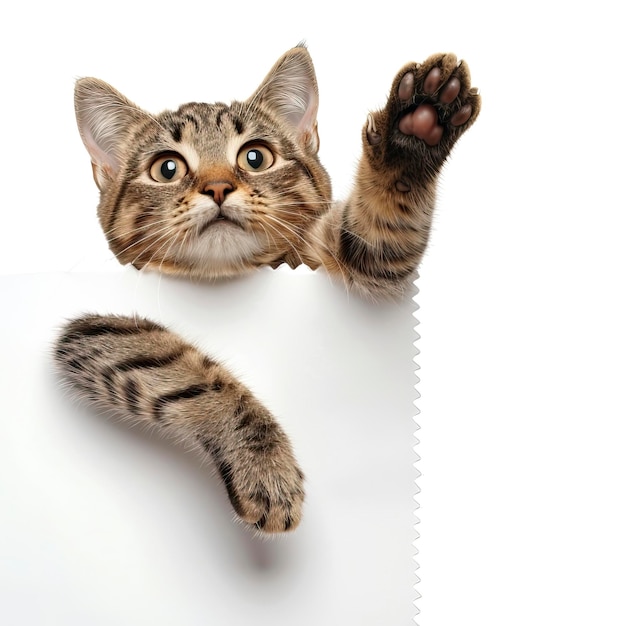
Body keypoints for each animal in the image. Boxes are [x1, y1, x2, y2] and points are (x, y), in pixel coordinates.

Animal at [56, 45, 480, 532]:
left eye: (255, 157)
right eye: (167, 168)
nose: (218, 187)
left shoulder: (342, 258)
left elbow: (382, 224)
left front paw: (416, 128)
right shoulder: (88, 329)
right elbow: (197, 375)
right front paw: (263, 465)